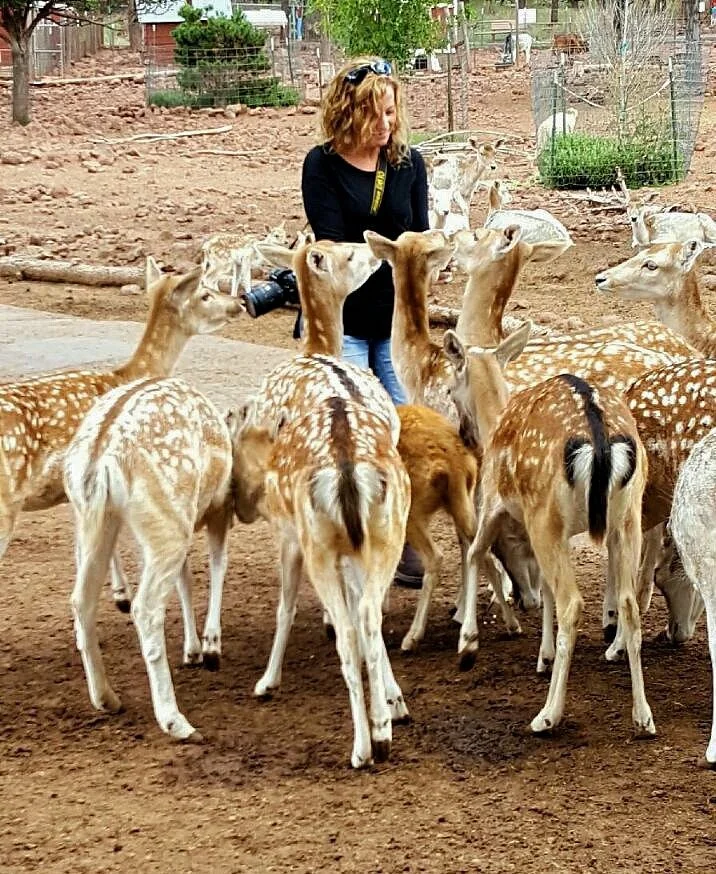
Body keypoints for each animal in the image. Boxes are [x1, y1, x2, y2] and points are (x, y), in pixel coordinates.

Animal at [65, 377, 236, 742]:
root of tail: (101, 456)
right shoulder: (219, 507)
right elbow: (218, 563)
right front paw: (210, 648)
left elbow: (186, 579)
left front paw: (193, 650)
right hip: (166, 521)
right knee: (145, 608)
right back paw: (176, 722)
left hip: (94, 518)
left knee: (81, 599)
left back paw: (106, 699)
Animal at [230, 394, 411, 769]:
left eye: (234, 443)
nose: (237, 504)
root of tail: (346, 466)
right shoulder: (354, 556)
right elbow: (363, 615)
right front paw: (395, 704)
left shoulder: (288, 537)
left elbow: (285, 608)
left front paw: (267, 682)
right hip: (386, 536)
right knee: (369, 615)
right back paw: (381, 733)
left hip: (318, 546)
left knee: (347, 633)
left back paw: (362, 749)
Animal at [443, 324, 656, 739]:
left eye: (449, 387)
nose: (461, 432)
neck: (495, 422)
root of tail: (600, 441)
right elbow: (542, 583)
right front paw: (542, 656)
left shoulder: (496, 501)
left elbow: (477, 552)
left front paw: (468, 646)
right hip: (627, 519)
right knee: (628, 602)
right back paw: (643, 717)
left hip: (546, 515)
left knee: (572, 602)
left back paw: (547, 716)